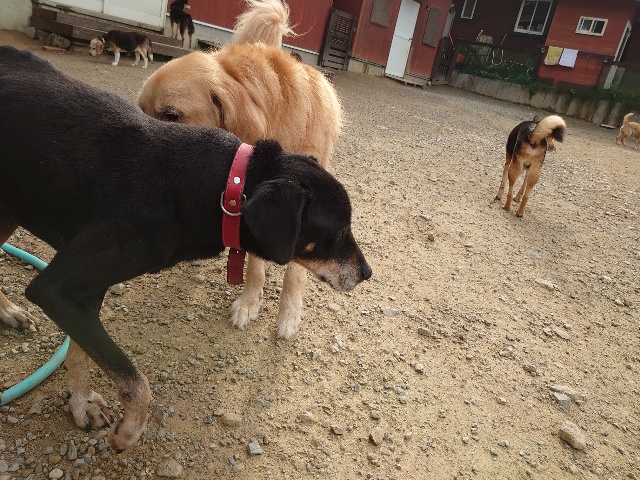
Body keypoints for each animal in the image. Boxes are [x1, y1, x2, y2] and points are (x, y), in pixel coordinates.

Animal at [0, 46, 371, 450]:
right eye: (339, 230)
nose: (367, 273)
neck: (222, 185)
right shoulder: (57, 288)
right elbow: (134, 379)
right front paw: (128, 431)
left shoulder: (83, 291)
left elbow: (81, 354)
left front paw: (82, 405)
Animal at [138, 0, 342, 340]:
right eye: (139, 111)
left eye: (172, 115)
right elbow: (255, 265)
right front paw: (249, 302)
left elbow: (295, 272)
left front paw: (289, 314)